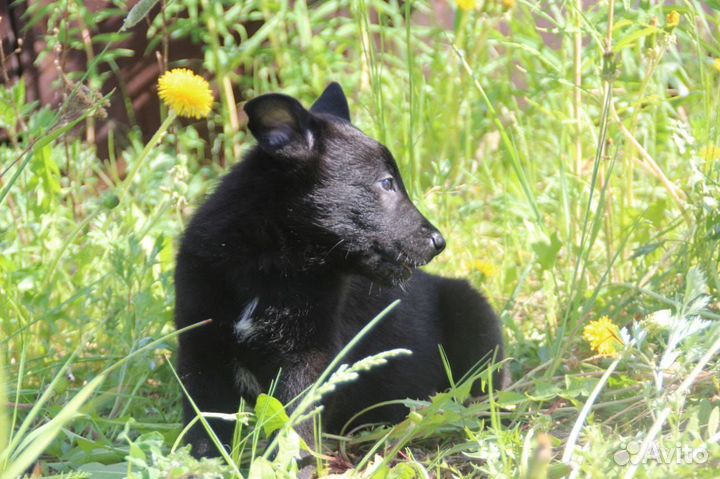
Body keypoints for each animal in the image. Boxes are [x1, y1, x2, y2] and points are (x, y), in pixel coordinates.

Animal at [175, 83, 504, 458]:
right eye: (386, 183)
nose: (439, 241)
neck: (268, 260)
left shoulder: (308, 360)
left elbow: (295, 421)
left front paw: (291, 463)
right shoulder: (201, 350)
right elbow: (204, 422)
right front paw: (202, 461)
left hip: (475, 316)